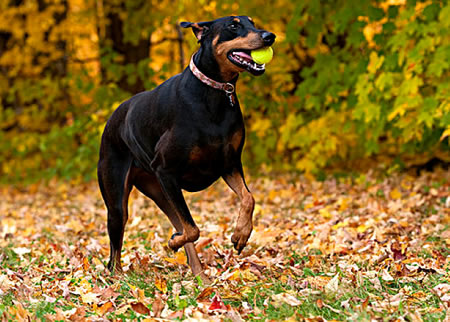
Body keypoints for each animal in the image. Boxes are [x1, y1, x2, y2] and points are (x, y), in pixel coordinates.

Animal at [97, 15, 276, 276]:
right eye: (233, 25)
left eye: (252, 22)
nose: (269, 36)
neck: (214, 91)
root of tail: (111, 120)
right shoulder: (165, 169)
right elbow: (192, 229)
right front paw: (173, 243)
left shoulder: (230, 163)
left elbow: (248, 198)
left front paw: (241, 234)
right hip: (121, 196)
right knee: (115, 249)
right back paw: (119, 277)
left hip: (160, 190)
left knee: (178, 222)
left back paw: (201, 275)